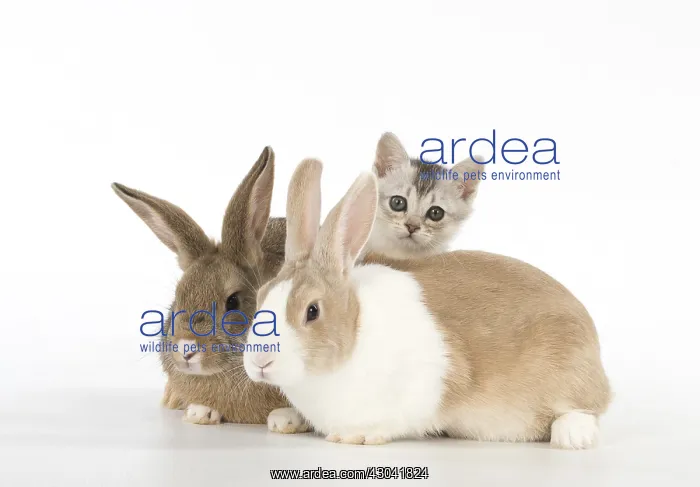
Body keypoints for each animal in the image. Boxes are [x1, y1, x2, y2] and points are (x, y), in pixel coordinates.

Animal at [243, 159, 611, 448]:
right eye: (261, 298)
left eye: (312, 311)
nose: (260, 362)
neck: (356, 331)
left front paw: (358, 435)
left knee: (587, 407)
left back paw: (571, 436)